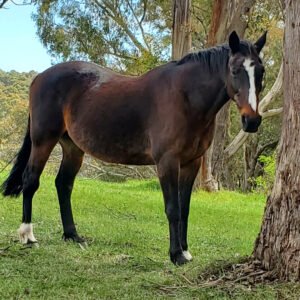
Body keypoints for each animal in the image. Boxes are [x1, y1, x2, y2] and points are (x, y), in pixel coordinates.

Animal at [1, 30, 266, 264]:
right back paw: (27, 235)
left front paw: (186, 250)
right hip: (43, 140)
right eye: (235, 70)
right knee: (31, 181)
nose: (252, 121)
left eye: (261, 72)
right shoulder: (167, 162)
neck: (185, 97)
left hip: (73, 147)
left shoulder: (192, 162)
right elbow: (173, 209)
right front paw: (176, 255)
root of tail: (39, 77)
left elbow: (185, 209)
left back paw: (72, 235)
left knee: (63, 184)